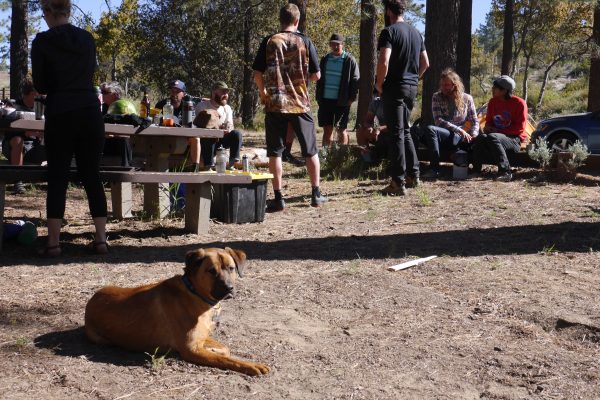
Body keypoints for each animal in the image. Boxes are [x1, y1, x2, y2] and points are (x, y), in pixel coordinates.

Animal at [84, 247, 270, 376]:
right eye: (211, 271)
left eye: (231, 268)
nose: (229, 288)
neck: (195, 294)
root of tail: (91, 301)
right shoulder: (190, 349)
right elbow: (227, 359)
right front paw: (252, 365)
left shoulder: (200, 338)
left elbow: (224, 349)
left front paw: (214, 349)